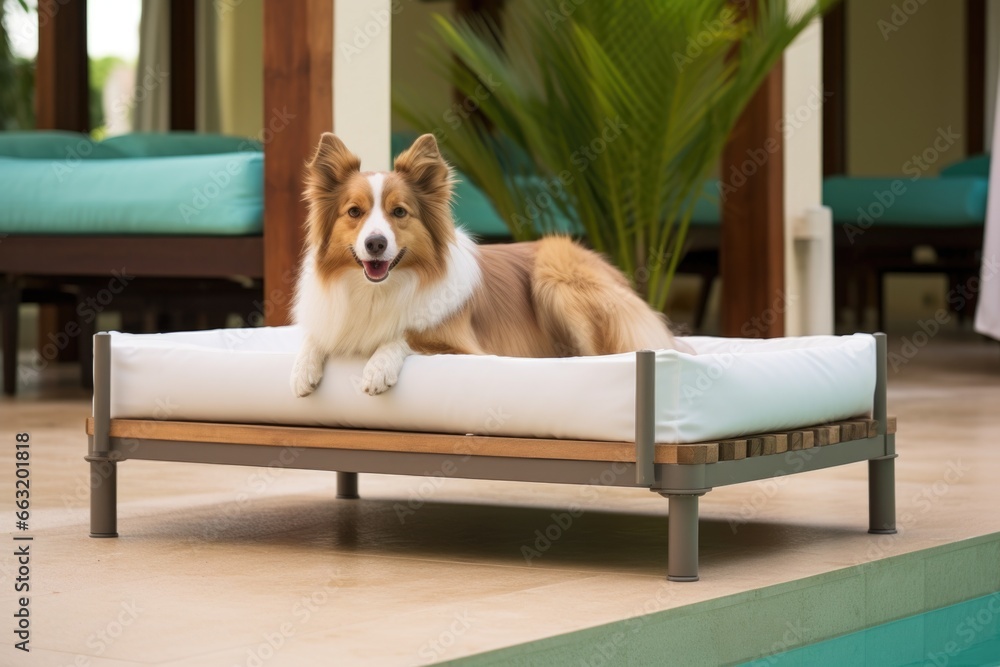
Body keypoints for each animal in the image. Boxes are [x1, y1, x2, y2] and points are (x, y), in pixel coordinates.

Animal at [292, 133, 692, 400]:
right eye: (354, 212)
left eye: (399, 212)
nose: (375, 244)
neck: (378, 290)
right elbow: (313, 338)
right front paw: (302, 369)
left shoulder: (461, 344)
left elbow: (407, 335)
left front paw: (377, 367)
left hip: (558, 277)